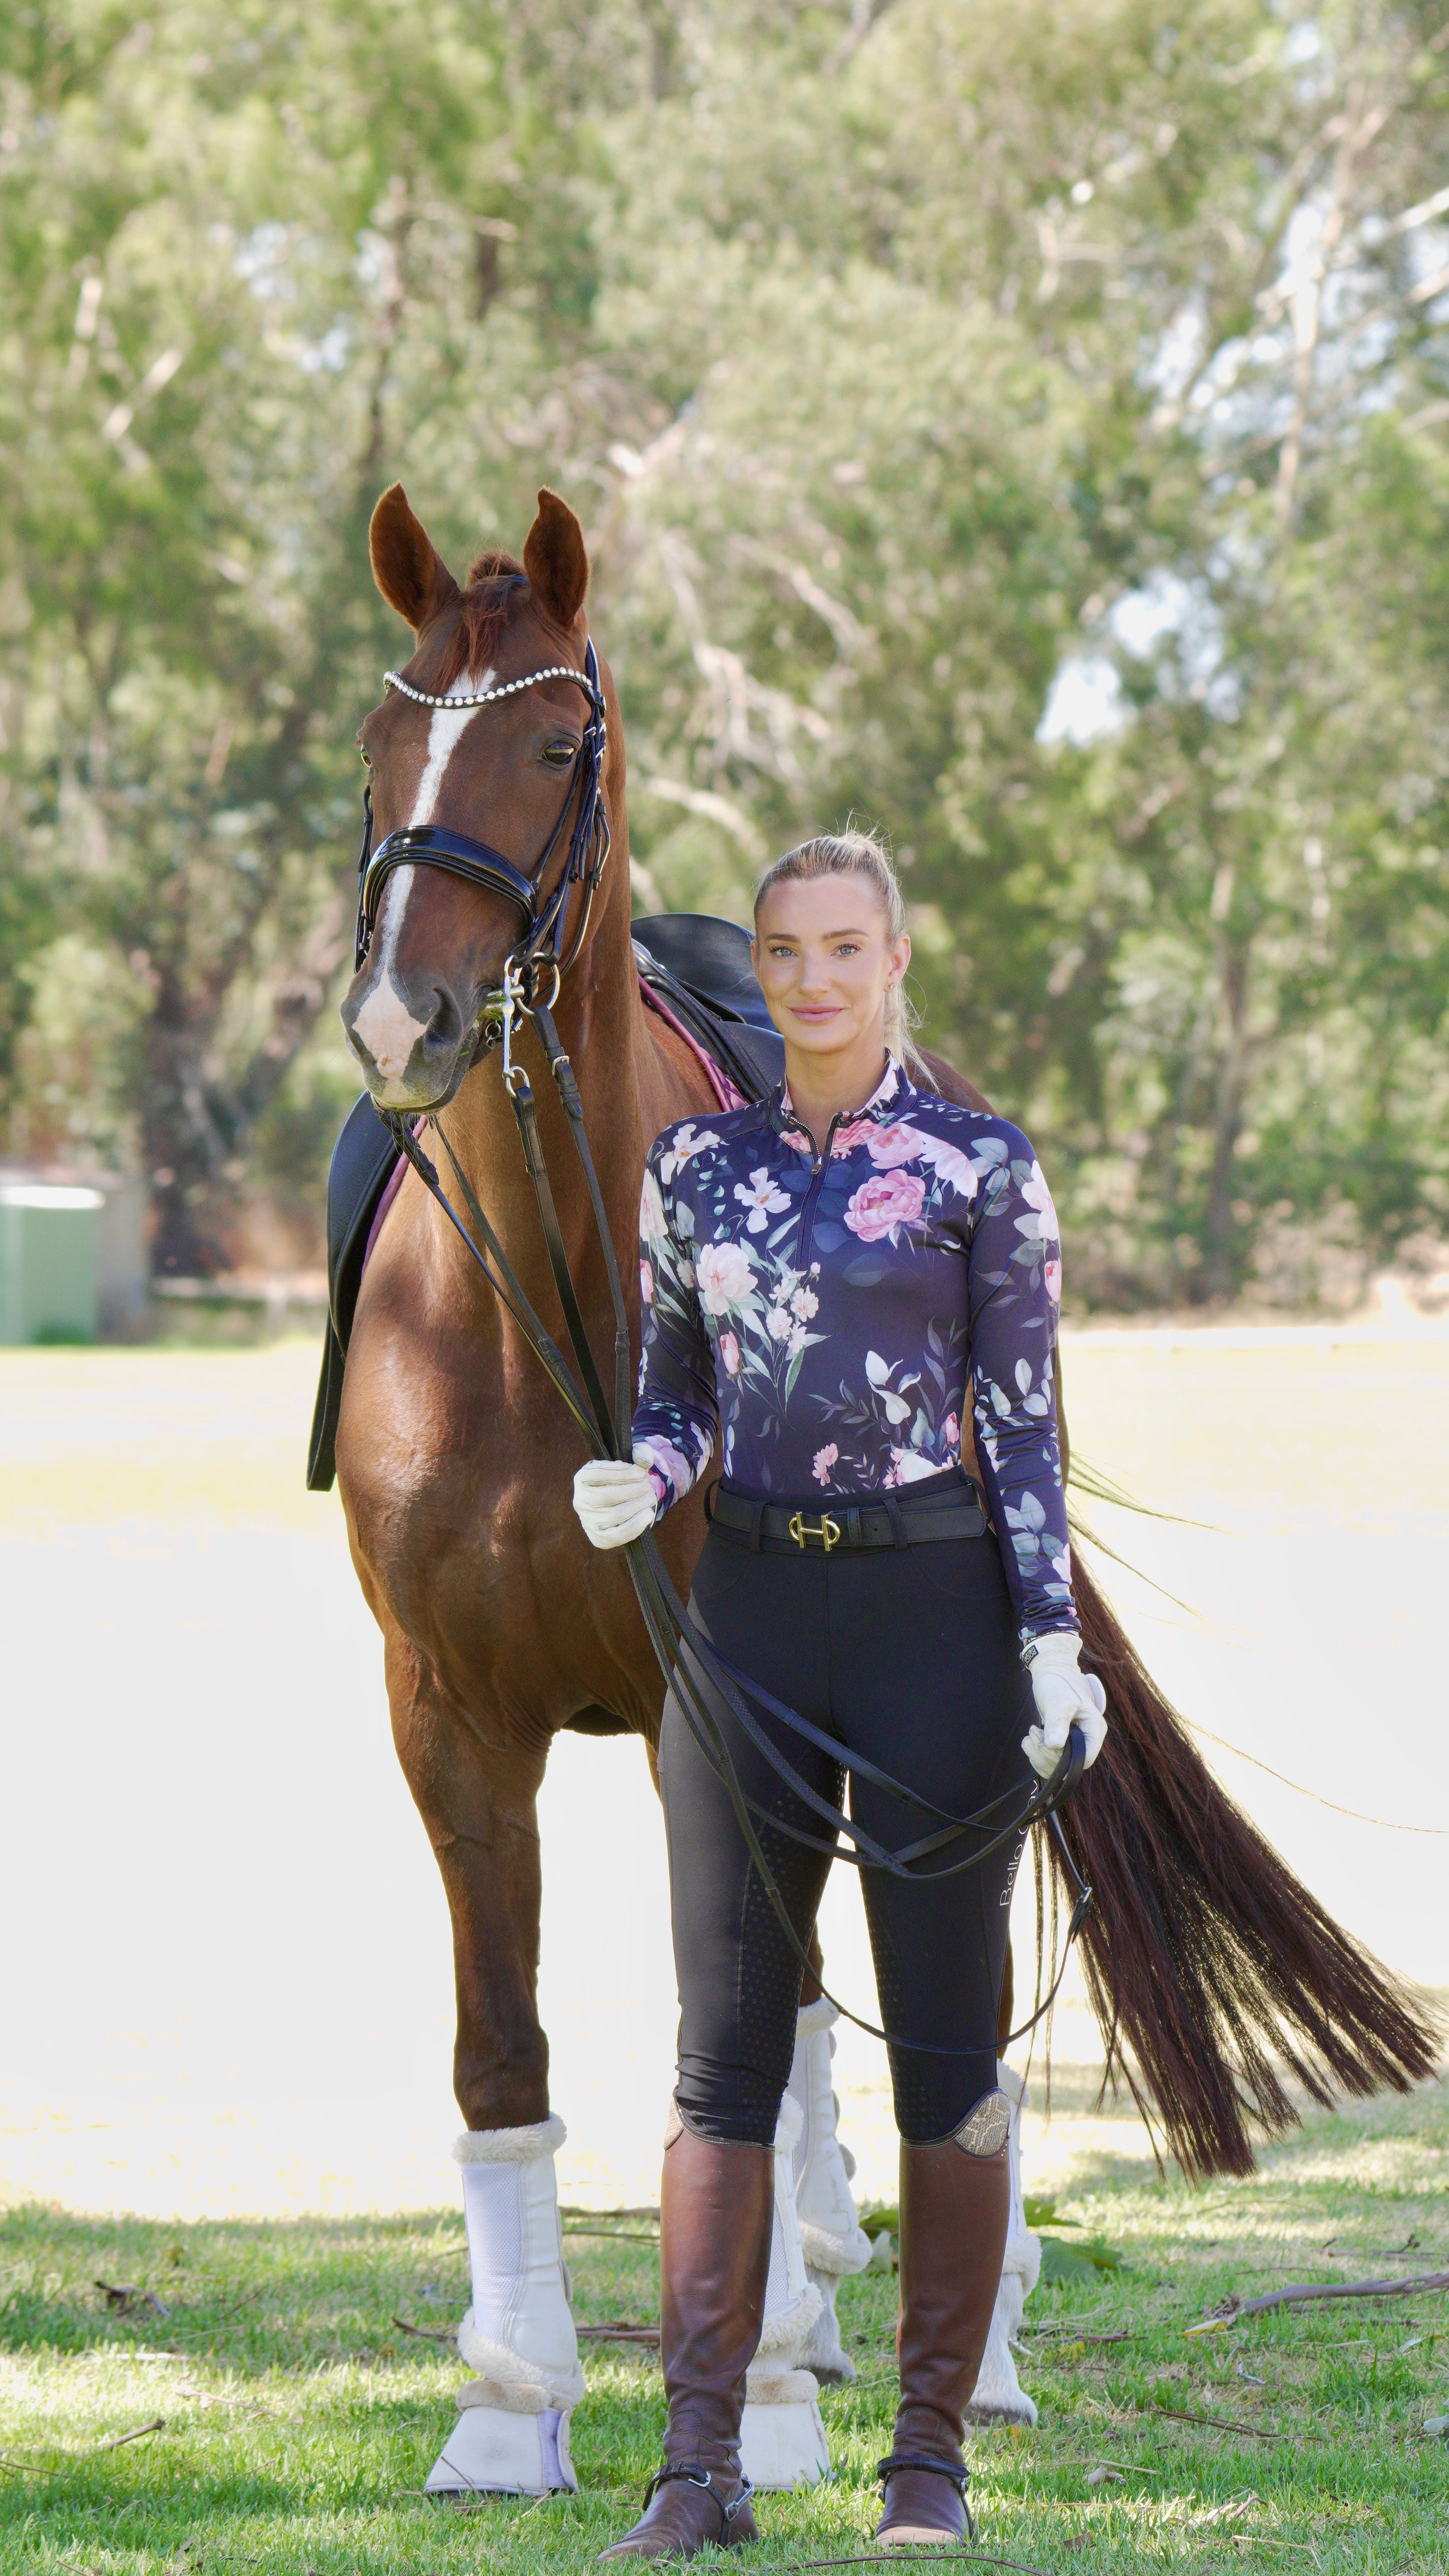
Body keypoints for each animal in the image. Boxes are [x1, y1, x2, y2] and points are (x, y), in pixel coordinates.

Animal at [330, 481, 1440, 2497]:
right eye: (382, 741)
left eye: (553, 745)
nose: (401, 1020)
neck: (535, 1318)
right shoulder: (445, 1711)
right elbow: (506, 2053)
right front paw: (509, 2409)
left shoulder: (725, 1704)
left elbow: (768, 2039)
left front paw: (757, 2399)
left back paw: (955, 2333)